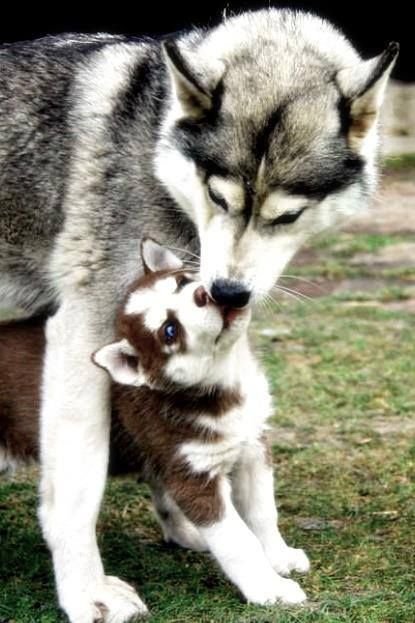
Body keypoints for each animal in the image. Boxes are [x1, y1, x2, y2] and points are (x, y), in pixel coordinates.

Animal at [0, 240, 310, 608]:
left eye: (181, 282)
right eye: (169, 331)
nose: (203, 294)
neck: (223, 383)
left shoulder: (252, 446)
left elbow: (262, 512)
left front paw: (279, 556)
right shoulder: (193, 475)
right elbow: (237, 541)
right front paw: (269, 588)